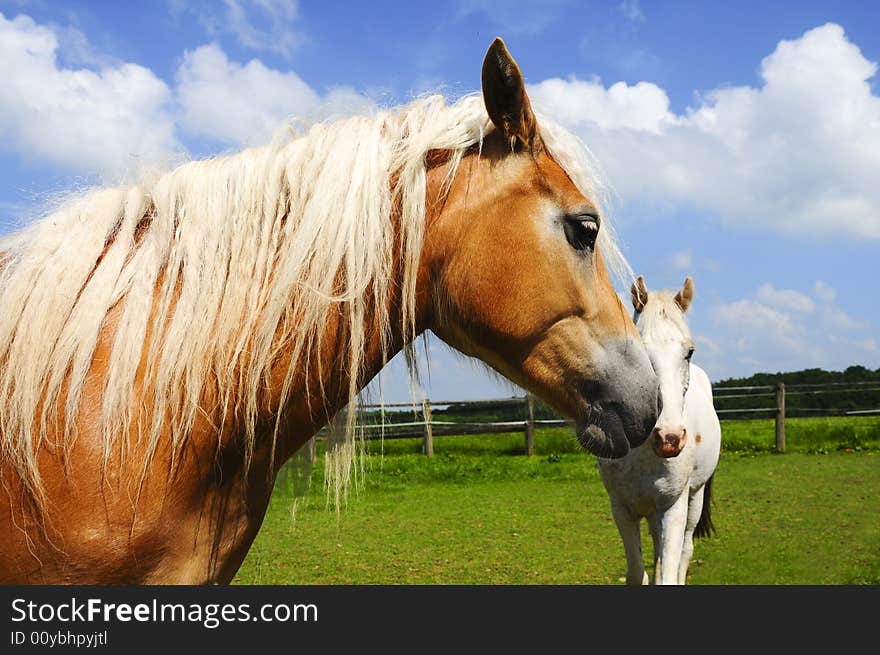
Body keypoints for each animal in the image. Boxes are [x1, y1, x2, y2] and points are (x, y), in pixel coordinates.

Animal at [596, 276, 720, 584]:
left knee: (685, 551)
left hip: (694, 499)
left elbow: (669, 572)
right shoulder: (622, 509)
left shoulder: (673, 507)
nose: (669, 438)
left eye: (689, 352)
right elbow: (637, 572)